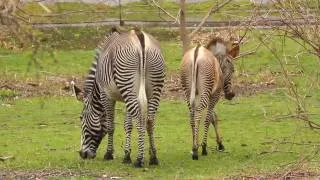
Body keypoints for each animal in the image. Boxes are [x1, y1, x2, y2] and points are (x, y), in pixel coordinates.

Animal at [72, 27, 165, 167]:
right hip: (152, 88)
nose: (82, 154)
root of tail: (139, 35)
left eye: (81, 117)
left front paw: (109, 154)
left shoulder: (106, 95)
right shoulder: (126, 98)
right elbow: (128, 125)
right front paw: (126, 156)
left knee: (140, 120)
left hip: (128, 85)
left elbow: (110, 126)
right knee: (150, 121)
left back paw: (139, 160)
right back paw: (153, 157)